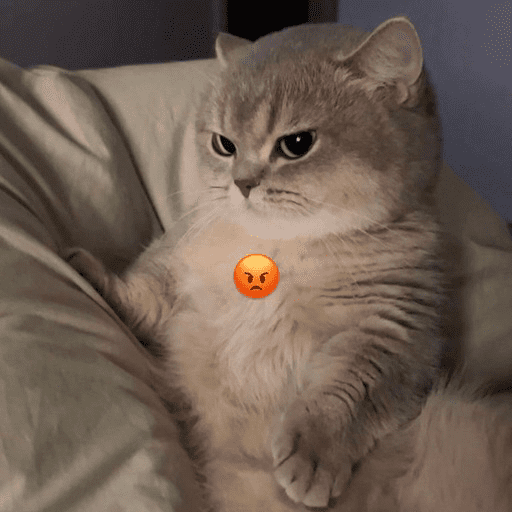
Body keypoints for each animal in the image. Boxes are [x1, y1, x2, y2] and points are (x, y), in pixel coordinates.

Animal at [65, 15, 512, 512]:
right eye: (224, 144)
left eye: (296, 144)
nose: (241, 183)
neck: (275, 248)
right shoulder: (175, 273)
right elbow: (139, 297)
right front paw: (89, 274)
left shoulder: (391, 334)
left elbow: (344, 396)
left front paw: (312, 456)